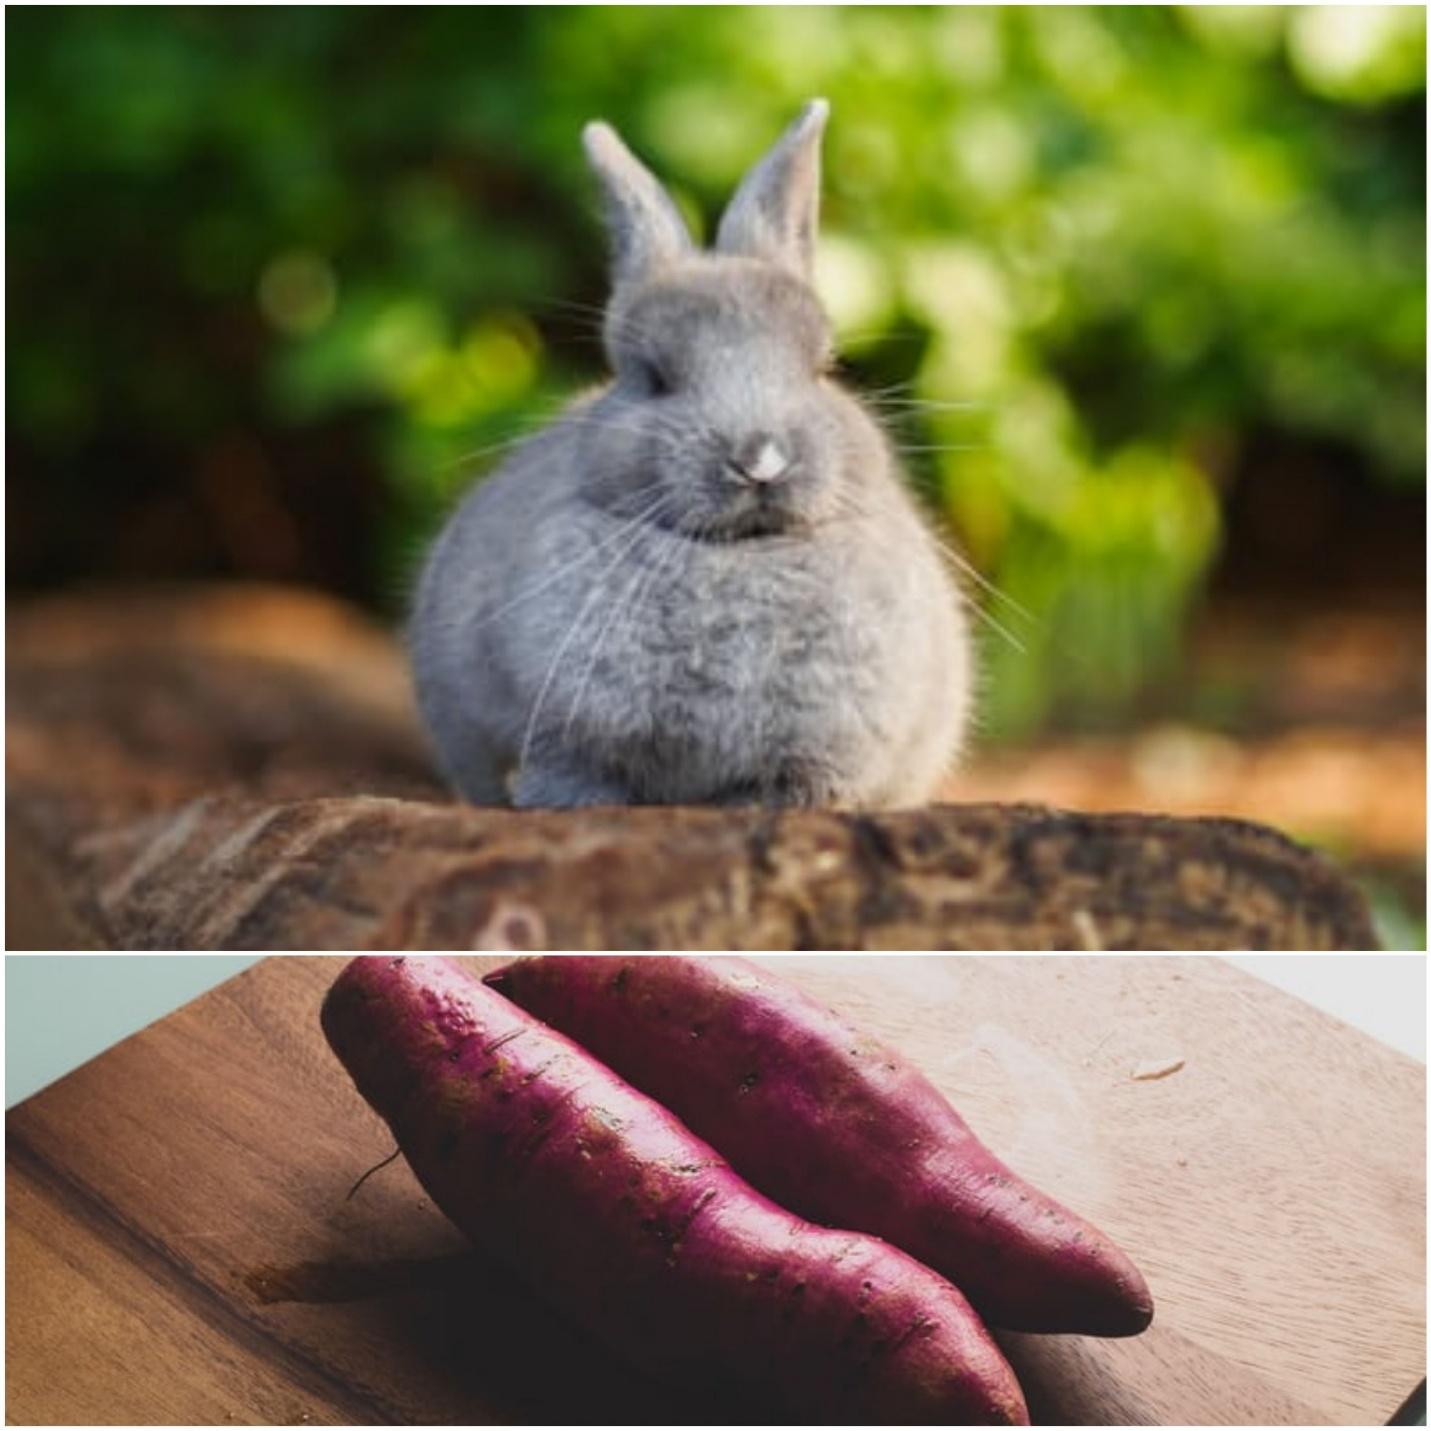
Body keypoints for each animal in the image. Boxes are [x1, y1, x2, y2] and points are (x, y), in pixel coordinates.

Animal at [409, 99, 973, 809]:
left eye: (824, 368)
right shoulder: (565, 744)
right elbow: (576, 783)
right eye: (654, 379)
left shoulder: (821, 760)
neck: (743, 553)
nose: (760, 459)